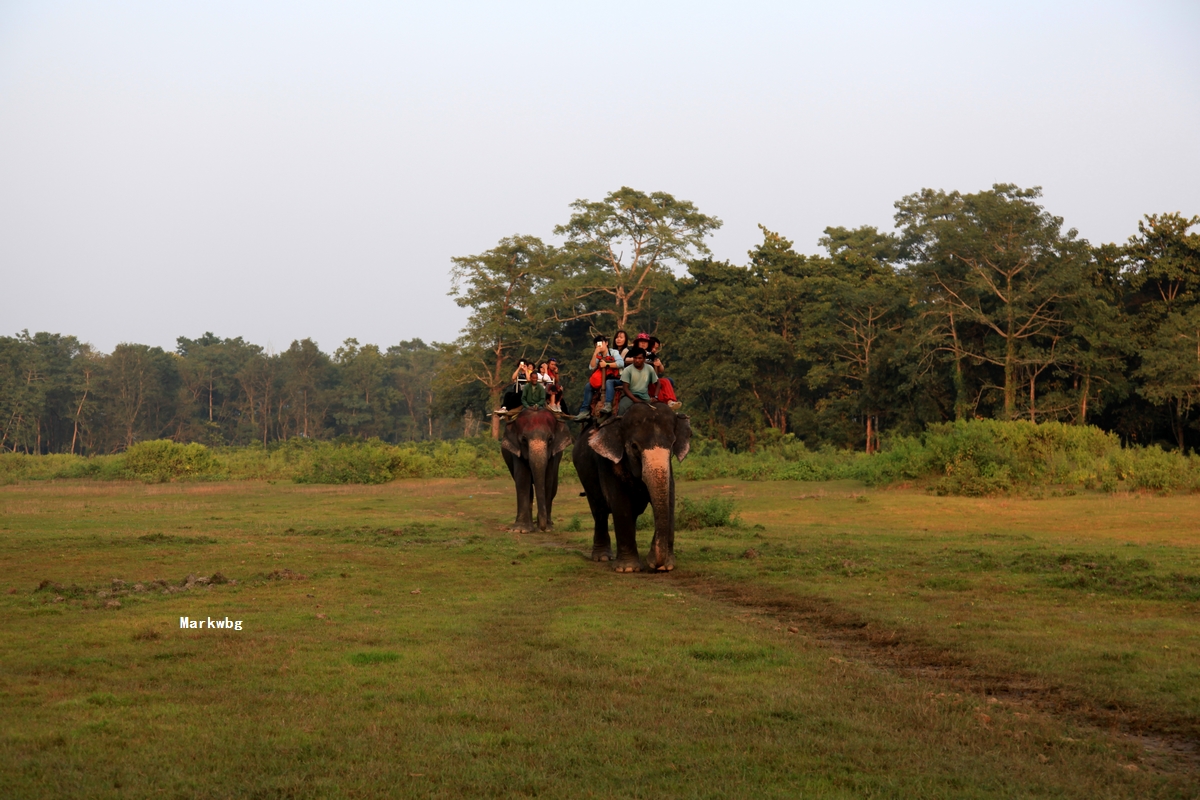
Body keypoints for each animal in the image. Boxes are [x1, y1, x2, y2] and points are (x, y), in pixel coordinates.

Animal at [573, 402, 696, 573]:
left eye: (672, 444)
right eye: (634, 446)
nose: (656, 564)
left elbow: (669, 499)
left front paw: (666, 566)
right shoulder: (608, 463)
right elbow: (620, 503)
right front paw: (628, 569)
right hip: (585, 476)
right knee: (599, 511)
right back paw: (602, 557)